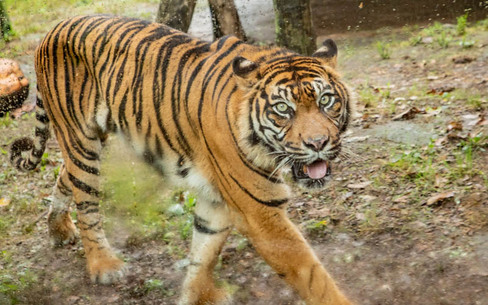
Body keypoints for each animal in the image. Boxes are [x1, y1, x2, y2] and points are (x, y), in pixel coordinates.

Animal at [9, 14, 352, 304]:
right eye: (283, 109)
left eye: (326, 100)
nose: (318, 143)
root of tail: (52, 29)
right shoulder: (260, 212)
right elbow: (314, 278)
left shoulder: (217, 201)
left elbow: (204, 252)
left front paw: (197, 295)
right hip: (81, 141)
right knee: (87, 205)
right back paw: (103, 265)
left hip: (91, 143)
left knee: (64, 175)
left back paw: (58, 230)